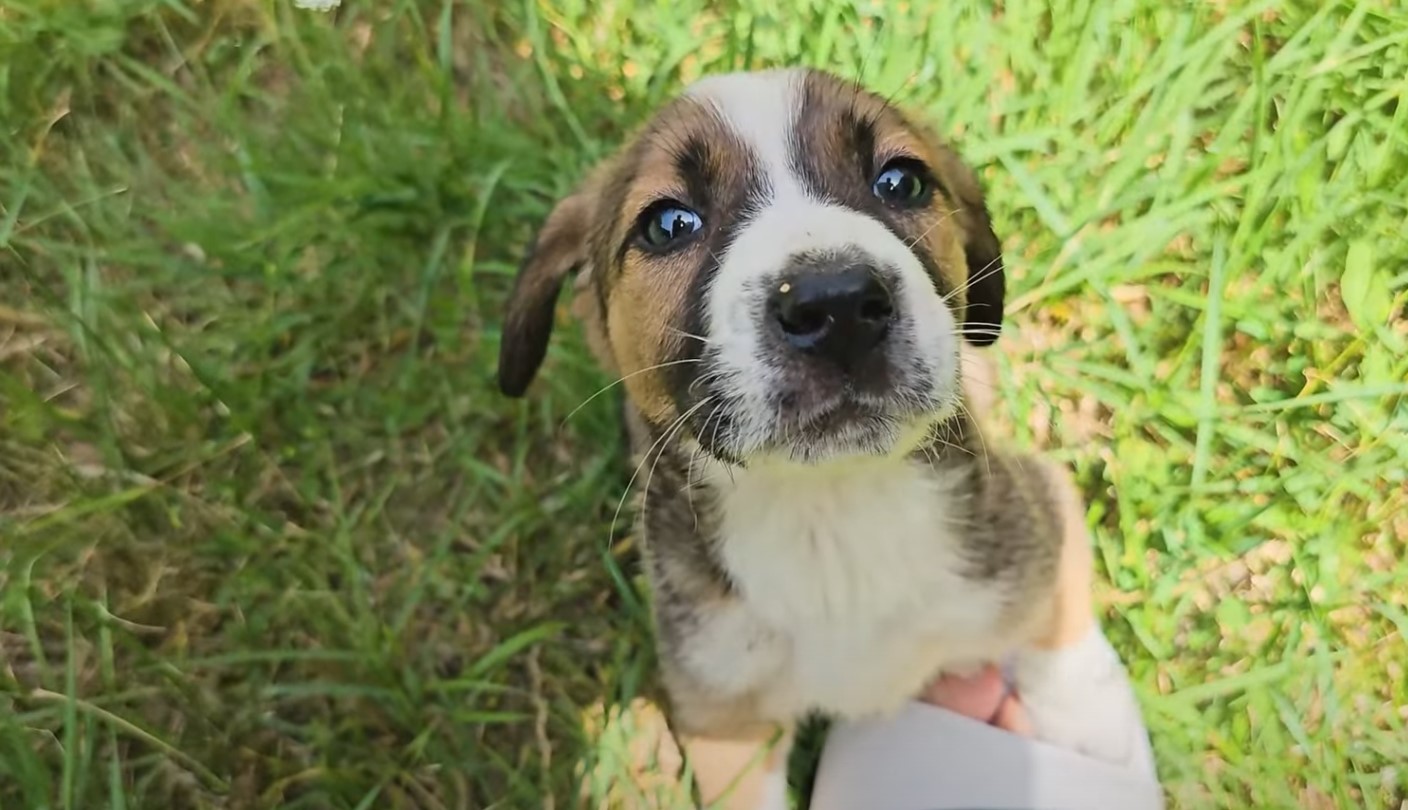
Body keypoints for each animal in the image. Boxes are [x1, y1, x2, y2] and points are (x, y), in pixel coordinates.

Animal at [495, 68, 1064, 805]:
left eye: (901, 182)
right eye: (668, 224)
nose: (838, 304)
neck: (829, 515)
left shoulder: (1040, 555)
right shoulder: (726, 720)